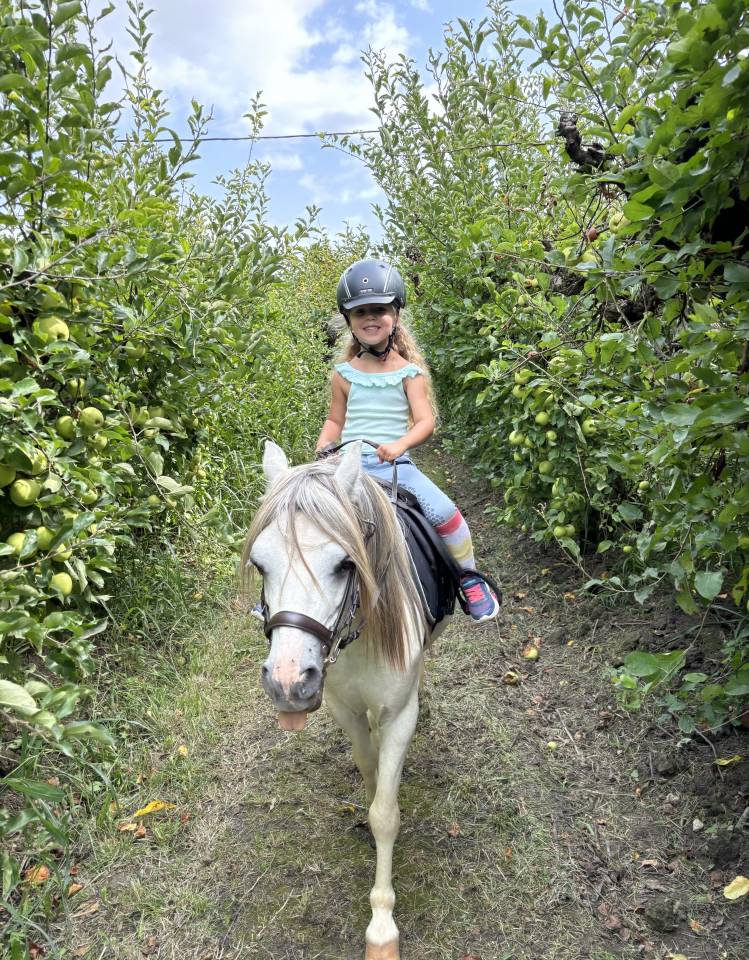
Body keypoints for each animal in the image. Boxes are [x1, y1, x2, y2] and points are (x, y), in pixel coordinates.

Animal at [242, 439, 445, 960]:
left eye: (344, 563)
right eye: (260, 564)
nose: (288, 683)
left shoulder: (399, 716)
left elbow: (386, 815)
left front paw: (382, 927)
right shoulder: (344, 710)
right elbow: (370, 772)